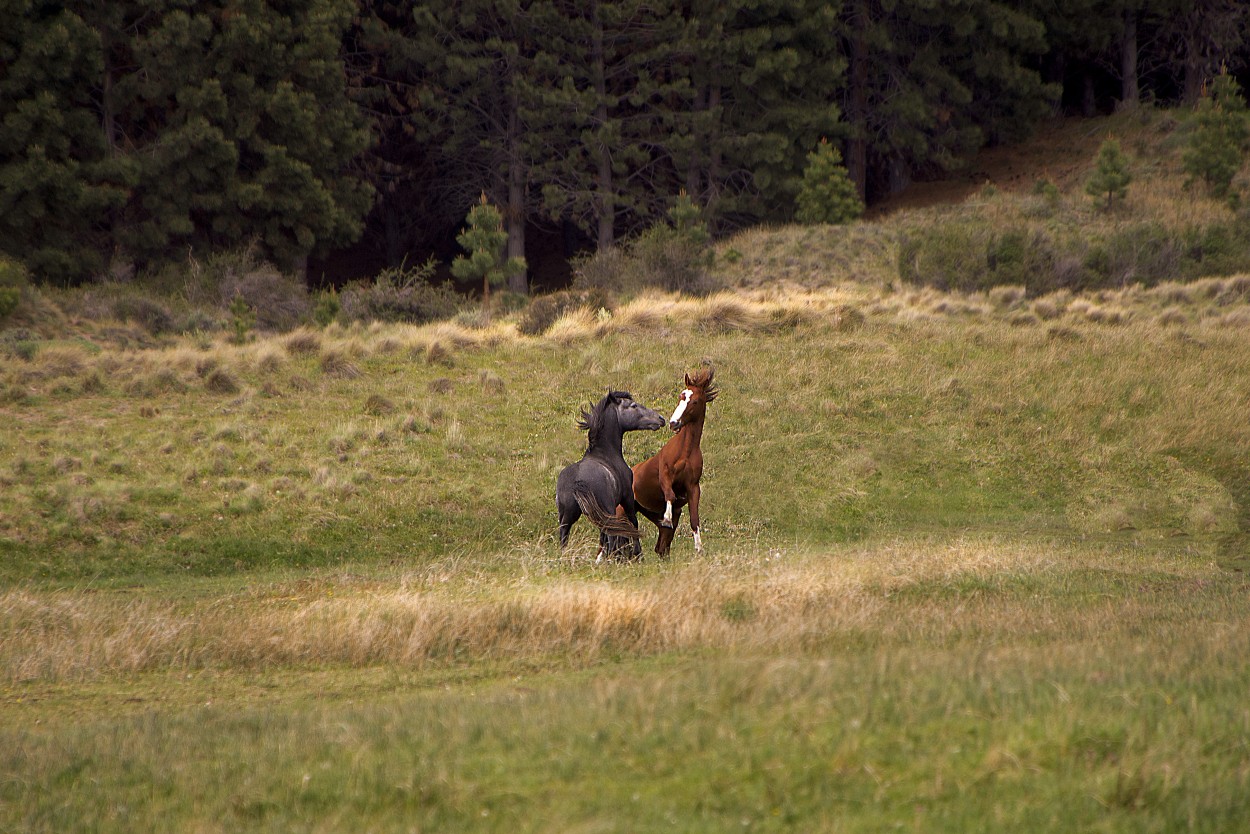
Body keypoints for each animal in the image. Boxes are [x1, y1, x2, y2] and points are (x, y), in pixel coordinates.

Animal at [557, 392, 665, 560]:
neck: (606, 453)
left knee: (565, 536)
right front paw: (639, 555)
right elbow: (633, 523)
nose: (661, 419)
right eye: (633, 405)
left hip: (567, 516)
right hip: (607, 511)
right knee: (612, 533)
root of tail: (578, 480)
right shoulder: (627, 497)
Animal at [635, 367, 715, 557]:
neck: (685, 452)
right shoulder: (665, 475)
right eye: (681, 396)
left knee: (661, 547)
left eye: (695, 401)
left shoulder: (693, 487)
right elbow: (670, 495)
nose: (673, 423)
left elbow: (694, 518)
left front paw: (699, 547)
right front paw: (666, 518)